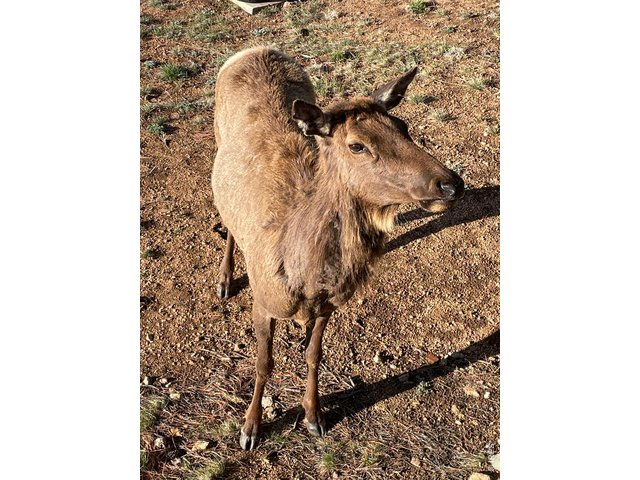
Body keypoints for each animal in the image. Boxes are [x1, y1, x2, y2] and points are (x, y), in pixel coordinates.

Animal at [211, 46, 464, 450]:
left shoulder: (331, 304)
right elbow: (263, 363)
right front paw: (250, 427)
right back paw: (224, 280)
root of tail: (253, 49)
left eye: (403, 127)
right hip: (216, 138)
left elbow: (315, 355)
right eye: (357, 145)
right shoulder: (264, 301)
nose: (451, 183)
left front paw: (314, 416)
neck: (305, 277)